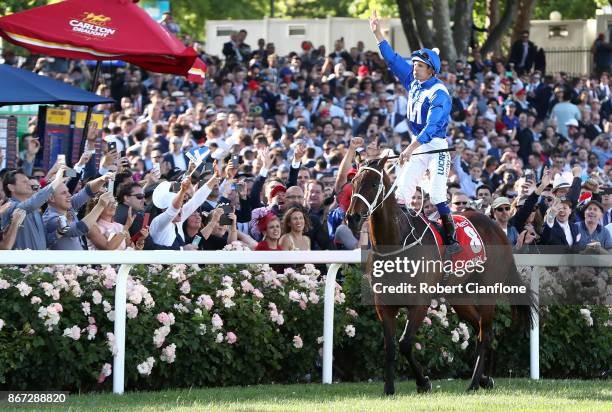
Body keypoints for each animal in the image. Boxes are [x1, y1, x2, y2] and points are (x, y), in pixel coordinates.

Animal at [346, 156, 536, 394]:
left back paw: (474, 383)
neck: (396, 242)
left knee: (484, 334)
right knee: (482, 330)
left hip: (487, 290)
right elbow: (390, 346)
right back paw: (485, 379)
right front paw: (389, 389)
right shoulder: (383, 303)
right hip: (459, 295)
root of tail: (496, 227)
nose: (352, 217)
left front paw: (424, 382)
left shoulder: (420, 302)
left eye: (373, 184)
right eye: (353, 182)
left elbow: (405, 343)